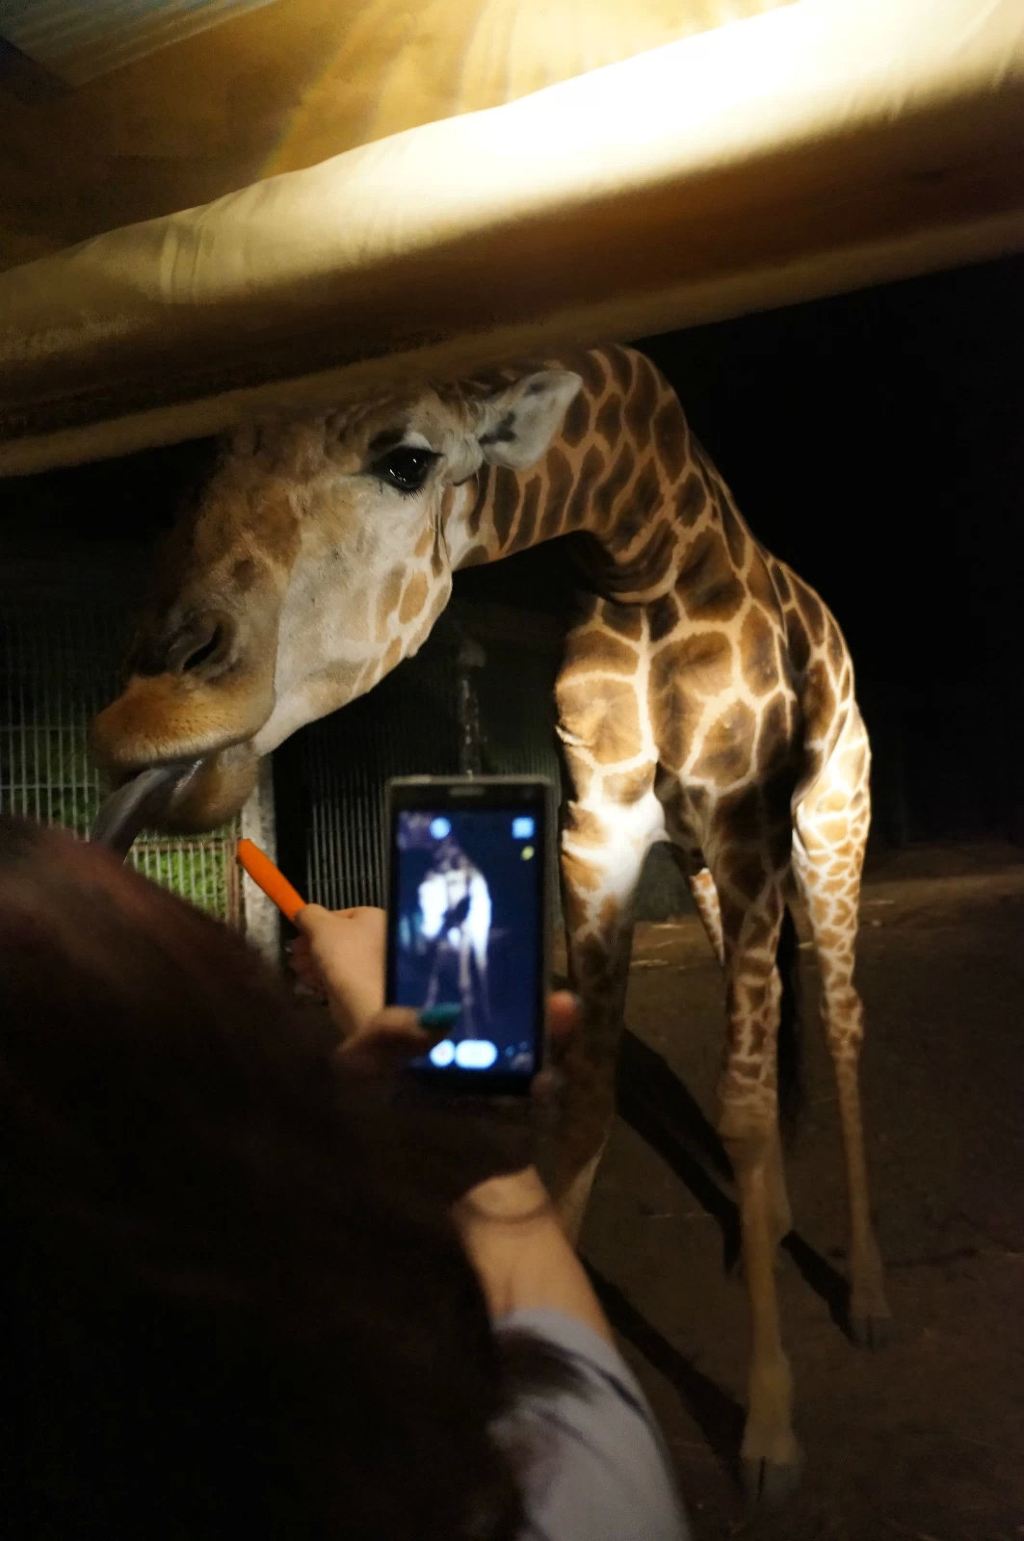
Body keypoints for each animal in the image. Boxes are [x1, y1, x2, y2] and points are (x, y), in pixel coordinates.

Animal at [93, 343, 886, 1497]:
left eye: (408, 460)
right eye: (208, 460)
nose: (149, 710)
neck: (641, 555)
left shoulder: (741, 823)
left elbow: (737, 1108)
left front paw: (771, 1429)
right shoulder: (602, 832)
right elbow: (591, 1092)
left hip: (829, 824)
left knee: (837, 1013)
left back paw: (866, 1291)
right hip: (705, 866)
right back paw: (765, 1224)